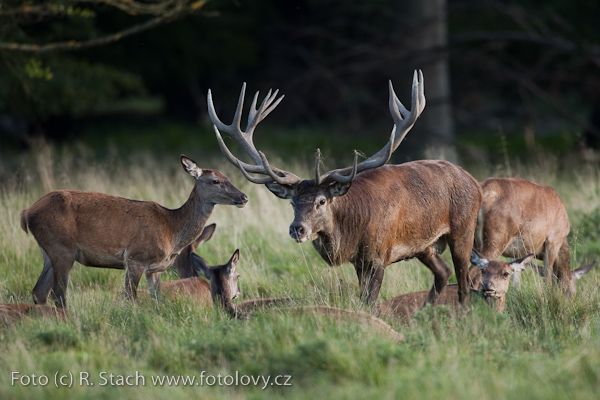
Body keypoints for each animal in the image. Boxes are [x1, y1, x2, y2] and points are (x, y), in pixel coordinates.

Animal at [20, 155, 246, 308]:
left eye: (229, 177)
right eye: (215, 180)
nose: (243, 197)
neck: (172, 229)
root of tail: (27, 213)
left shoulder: (155, 269)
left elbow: (157, 300)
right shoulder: (135, 257)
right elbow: (130, 298)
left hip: (49, 251)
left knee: (39, 291)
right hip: (62, 248)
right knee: (58, 293)